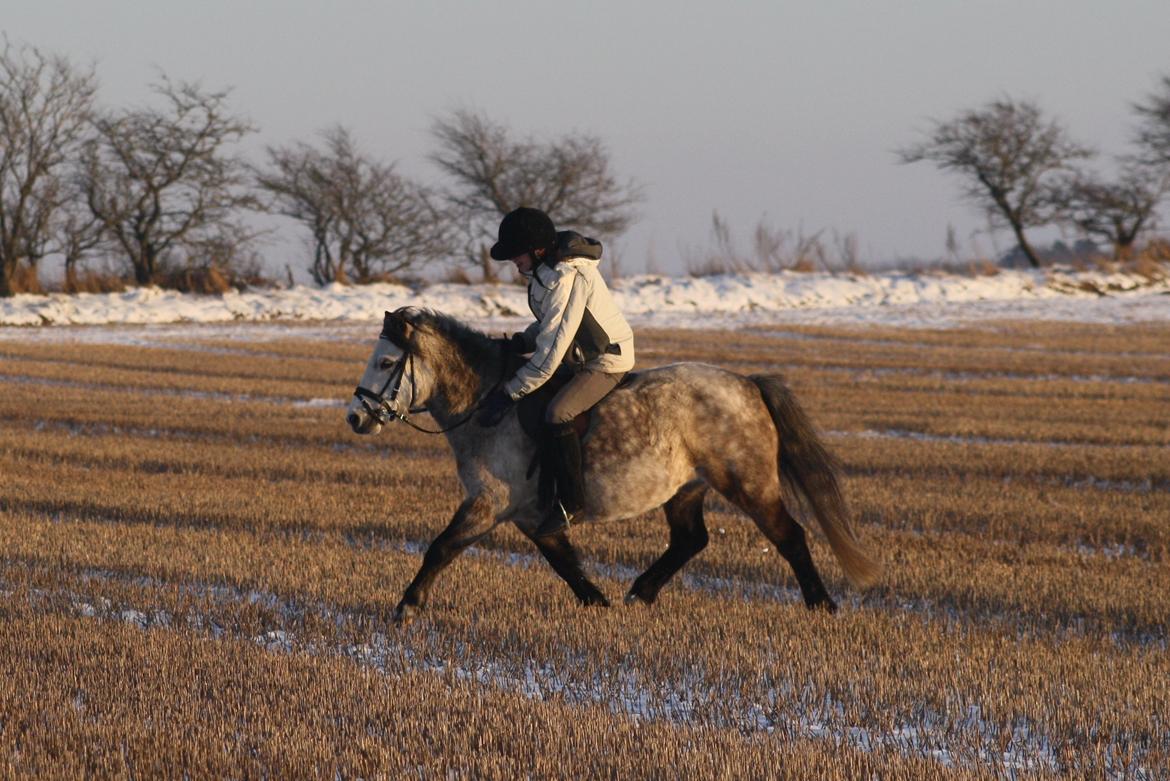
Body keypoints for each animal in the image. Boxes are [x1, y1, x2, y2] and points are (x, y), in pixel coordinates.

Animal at [346, 308, 879, 626]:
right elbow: (563, 560)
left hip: (748, 483)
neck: (485, 405)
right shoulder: (530, 514)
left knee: (789, 536)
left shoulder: (487, 503)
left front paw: (406, 607)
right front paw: (597, 602)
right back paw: (640, 593)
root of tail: (747, 384)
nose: (355, 416)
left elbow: (440, 548)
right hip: (685, 488)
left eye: (388, 361)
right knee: (691, 540)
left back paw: (822, 604)